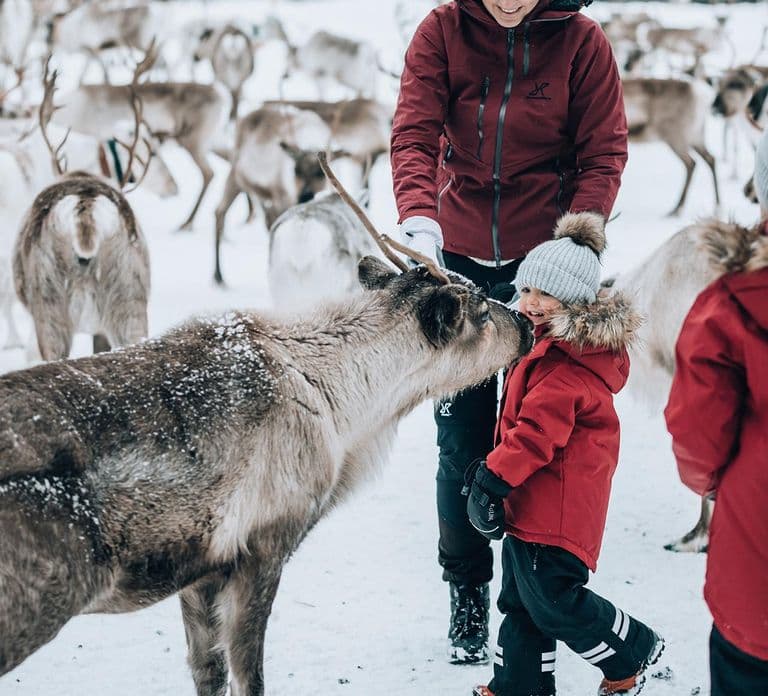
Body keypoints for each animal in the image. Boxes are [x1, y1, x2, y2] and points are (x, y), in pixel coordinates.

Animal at [0, 158, 534, 694]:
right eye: (481, 309)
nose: (527, 325)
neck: (344, 410)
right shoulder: (262, 547)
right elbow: (249, 675)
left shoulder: (199, 572)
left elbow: (208, 670)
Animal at [623, 77, 719, 217]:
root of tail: (699, 95)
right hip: (695, 137)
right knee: (710, 159)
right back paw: (717, 206)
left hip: (676, 137)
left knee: (691, 163)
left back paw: (677, 208)